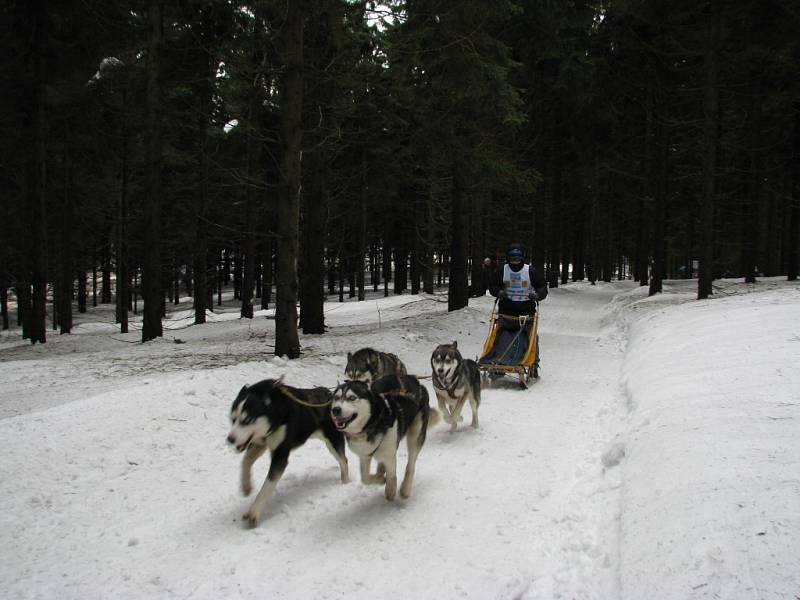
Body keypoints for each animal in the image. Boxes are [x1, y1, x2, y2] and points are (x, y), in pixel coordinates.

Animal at [227, 378, 348, 528]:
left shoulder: (280, 455)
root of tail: (330, 394)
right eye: (233, 419)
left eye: (247, 420)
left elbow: (266, 487)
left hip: (333, 441)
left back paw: (345, 482)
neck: (276, 411)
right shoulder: (260, 443)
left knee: (344, 460)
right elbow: (245, 462)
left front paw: (254, 512)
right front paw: (246, 486)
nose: (230, 439)